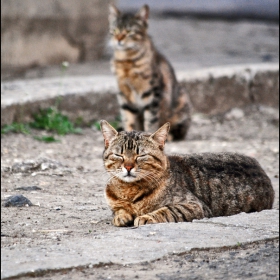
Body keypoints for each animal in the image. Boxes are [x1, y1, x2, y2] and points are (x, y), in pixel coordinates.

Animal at [100, 120, 274, 228]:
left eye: (141, 155)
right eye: (119, 155)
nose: (128, 166)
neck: (129, 191)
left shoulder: (194, 205)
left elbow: (167, 210)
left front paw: (146, 217)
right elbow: (119, 210)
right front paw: (121, 216)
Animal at [108, 3, 191, 140]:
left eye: (129, 32)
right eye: (114, 31)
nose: (118, 39)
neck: (126, 61)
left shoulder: (152, 93)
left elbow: (151, 120)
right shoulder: (124, 94)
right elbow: (128, 119)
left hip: (182, 101)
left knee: (179, 131)